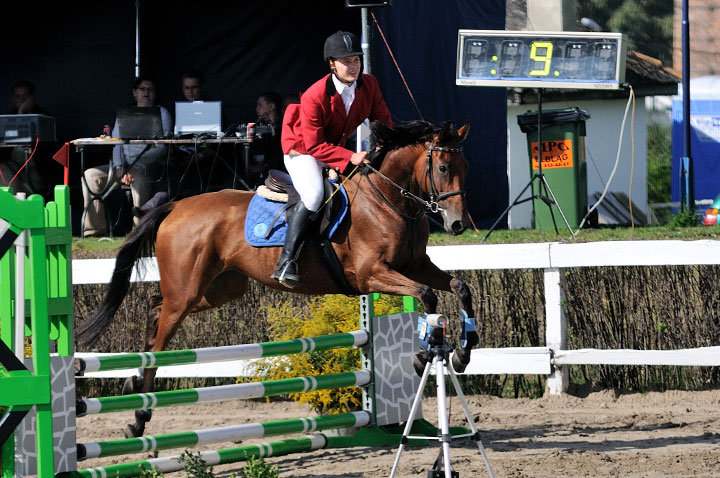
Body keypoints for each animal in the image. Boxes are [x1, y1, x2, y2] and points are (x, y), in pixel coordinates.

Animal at [76, 119, 478, 436]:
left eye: (464, 164)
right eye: (443, 167)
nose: (458, 225)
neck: (389, 201)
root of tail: (177, 204)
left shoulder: (415, 266)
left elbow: (460, 288)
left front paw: (461, 352)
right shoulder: (372, 276)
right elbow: (427, 295)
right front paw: (422, 356)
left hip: (219, 289)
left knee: (154, 305)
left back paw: (133, 382)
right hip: (187, 292)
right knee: (161, 331)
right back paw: (139, 414)